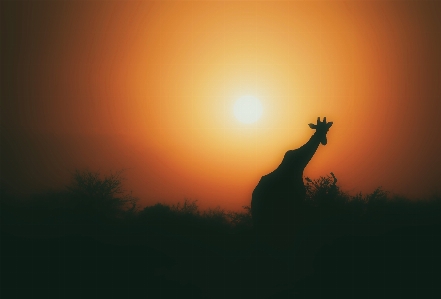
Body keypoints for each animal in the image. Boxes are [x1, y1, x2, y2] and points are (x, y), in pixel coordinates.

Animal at [249, 117, 332, 251]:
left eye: (327, 129)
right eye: (317, 128)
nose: (324, 141)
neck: (299, 165)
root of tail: (253, 195)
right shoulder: (298, 200)